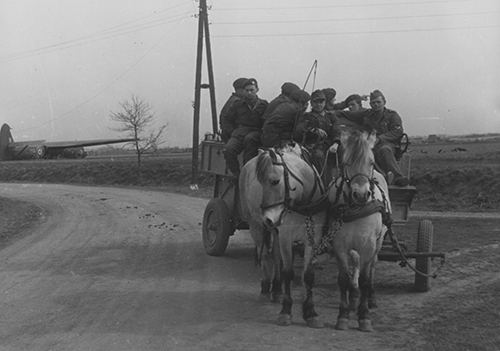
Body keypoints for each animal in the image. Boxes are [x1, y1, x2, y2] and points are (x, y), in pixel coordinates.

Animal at [239, 142, 328, 328]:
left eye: (275, 181)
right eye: (260, 182)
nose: (267, 219)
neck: (304, 202)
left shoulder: (313, 238)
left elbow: (308, 275)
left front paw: (311, 312)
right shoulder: (286, 237)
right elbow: (288, 272)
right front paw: (286, 312)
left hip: (274, 229)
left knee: (275, 256)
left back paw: (277, 290)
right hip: (256, 227)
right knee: (266, 256)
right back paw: (266, 289)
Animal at [328, 130, 390, 332]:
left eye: (371, 162)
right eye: (346, 162)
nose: (361, 194)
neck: (356, 208)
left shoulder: (368, 245)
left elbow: (364, 279)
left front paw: (364, 317)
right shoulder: (339, 244)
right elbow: (343, 279)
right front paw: (343, 316)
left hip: (378, 243)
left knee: (371, 270)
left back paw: (370, 298)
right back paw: (354, 299)